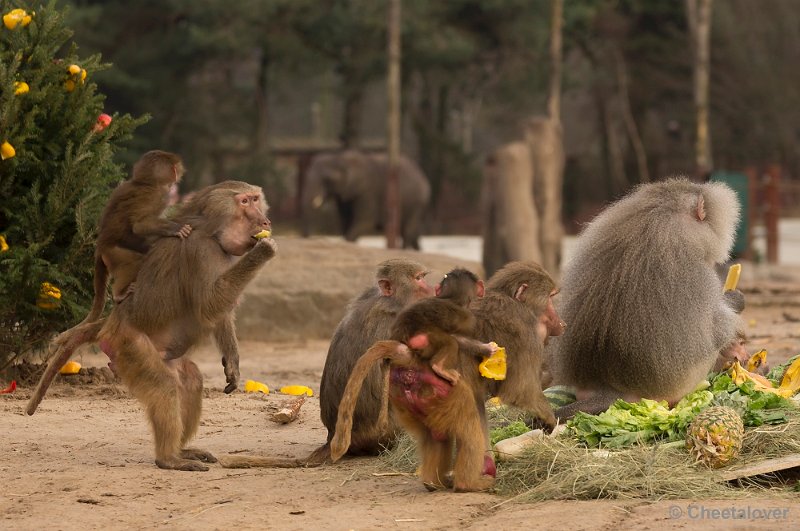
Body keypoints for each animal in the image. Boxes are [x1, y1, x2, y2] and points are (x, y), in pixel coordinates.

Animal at [304, 150, 432, 249]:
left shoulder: (368, 191)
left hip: (417, 202)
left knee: (407, 231)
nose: (311, 238)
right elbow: (345, 221)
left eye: (327, 179)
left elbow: (365, 221)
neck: (341, 158)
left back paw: (404, 250)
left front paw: (348, 242)